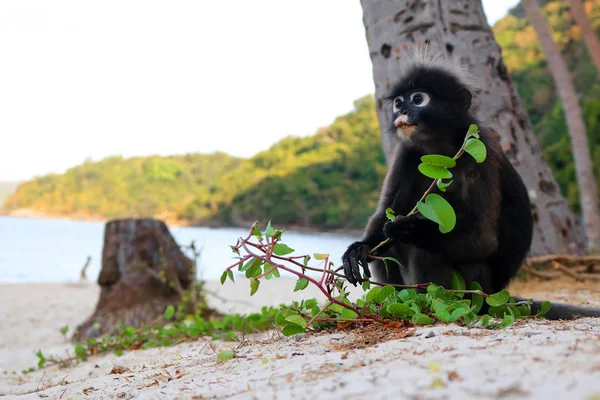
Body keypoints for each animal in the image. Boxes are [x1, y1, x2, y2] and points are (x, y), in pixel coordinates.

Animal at [342, 51, 600, 320]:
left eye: (417, 99)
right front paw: (358, 248)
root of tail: (493, 295)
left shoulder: (481, 149)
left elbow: (482, 238)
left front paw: (409, 228)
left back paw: (426, 304)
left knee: (427, 249)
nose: (401, 111)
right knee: (386, 250)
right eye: (398, 102)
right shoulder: (407, 152)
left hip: (473, 286)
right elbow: (384, 215)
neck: (439, 148)